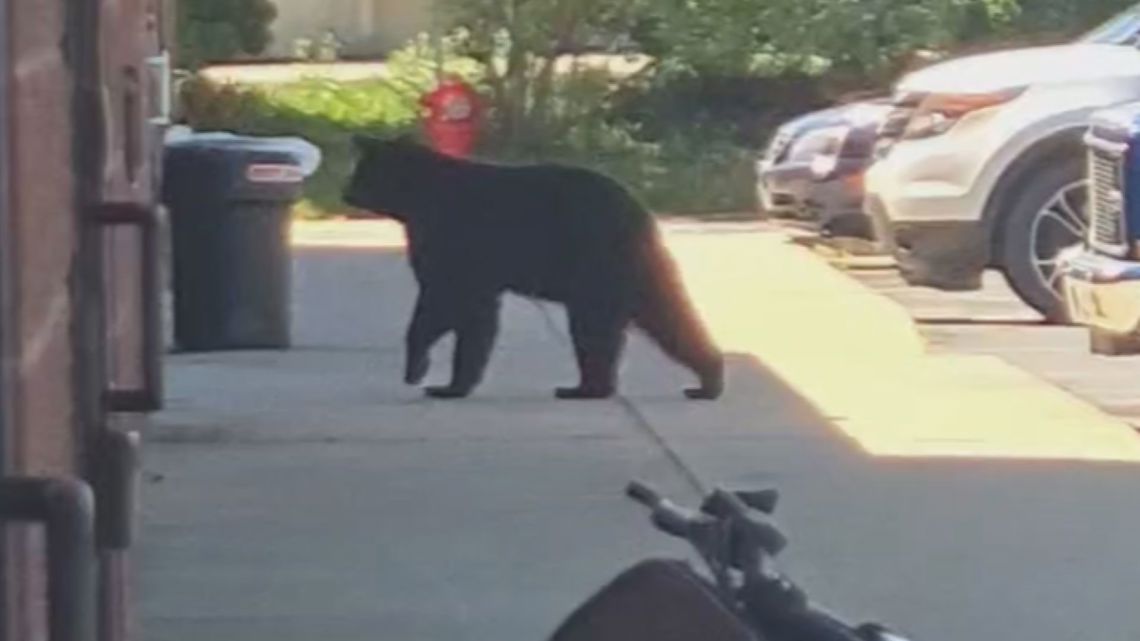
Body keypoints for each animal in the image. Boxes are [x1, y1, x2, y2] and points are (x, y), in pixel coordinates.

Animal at [343, 135, 724, 401]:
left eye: (361, 172)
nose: (346, 193)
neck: (419, 198)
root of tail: (641, 212)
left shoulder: (453, 243)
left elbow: (445, 304)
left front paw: (428, 376)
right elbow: (471, 315)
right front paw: (450, 381)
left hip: (598, 264)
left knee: (598, 326)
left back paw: (589, 388)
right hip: (626, 271)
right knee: (660, 314)